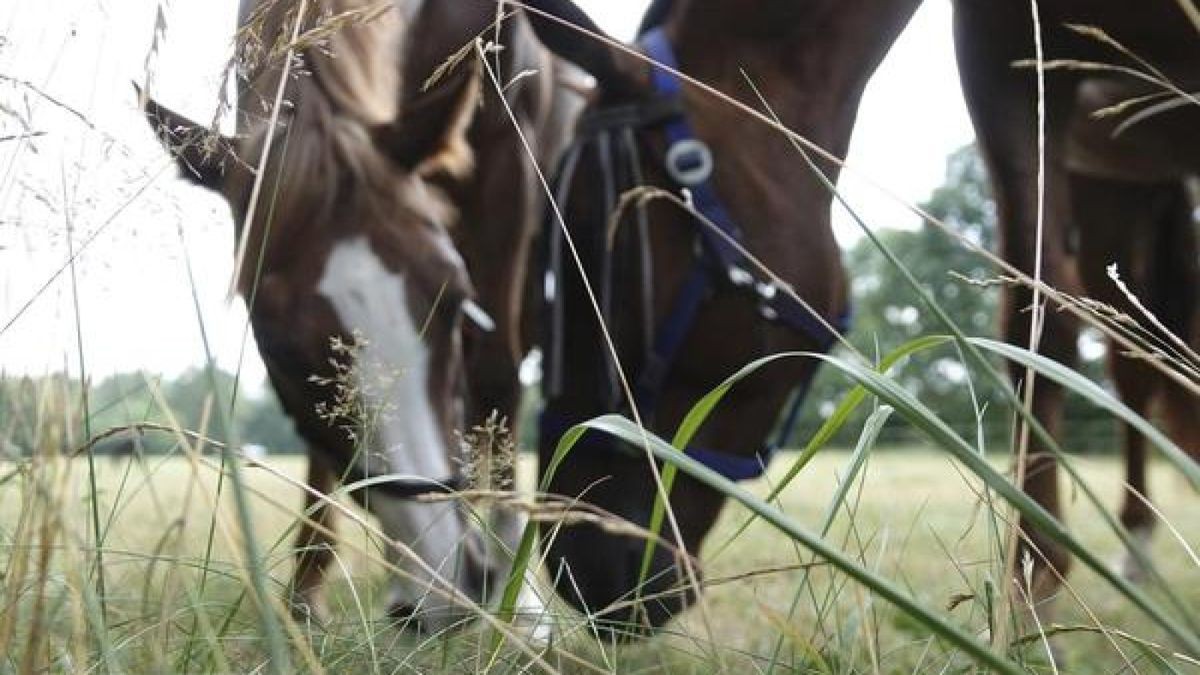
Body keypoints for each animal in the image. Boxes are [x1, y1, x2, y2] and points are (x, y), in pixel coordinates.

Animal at [142, 1, 573, 629]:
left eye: (454, 300)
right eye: (280, 345)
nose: (449, 580)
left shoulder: (506, 161)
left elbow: (495, 377)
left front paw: (522, 602)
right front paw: (309, 593)